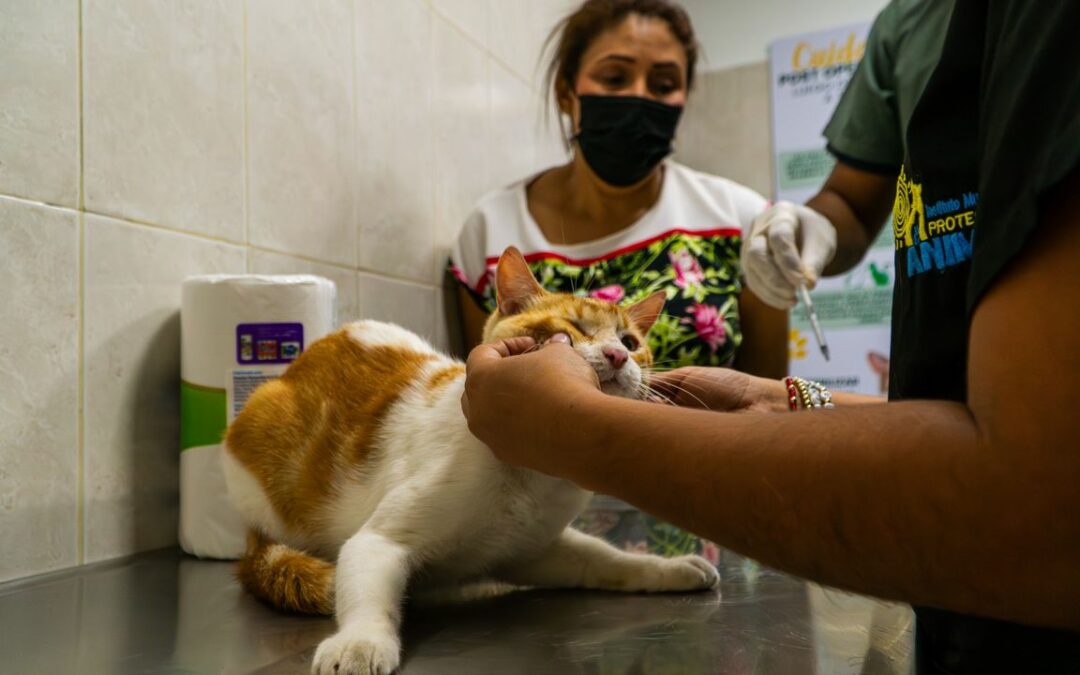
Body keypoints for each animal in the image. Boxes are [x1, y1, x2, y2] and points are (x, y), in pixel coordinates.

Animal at [221, 247, 717, 673]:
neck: (532, 475)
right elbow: (366, 597)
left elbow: (603, 558)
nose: (616, 355)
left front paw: (668, 568)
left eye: (631, 341)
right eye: (573, 327)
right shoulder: (378, 542)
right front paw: (360, 642)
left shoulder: (533, 551)